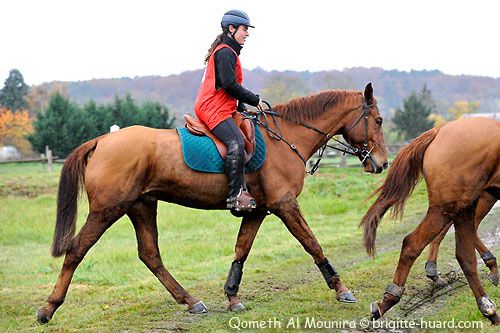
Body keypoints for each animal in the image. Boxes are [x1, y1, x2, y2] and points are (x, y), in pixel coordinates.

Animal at [40, 82, 390, 322]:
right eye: (378, 120)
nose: (382, 163)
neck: (285, 138)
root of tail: (101, 140)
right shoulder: (285, 205)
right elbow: (312, 244)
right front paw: (341, 289)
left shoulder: (259, 210)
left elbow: (241, 250)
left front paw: (232, 296)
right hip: (108, 209)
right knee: (76, 251)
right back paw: (48, 308)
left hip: (141, 206)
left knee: (150, 255)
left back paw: (190, 300)